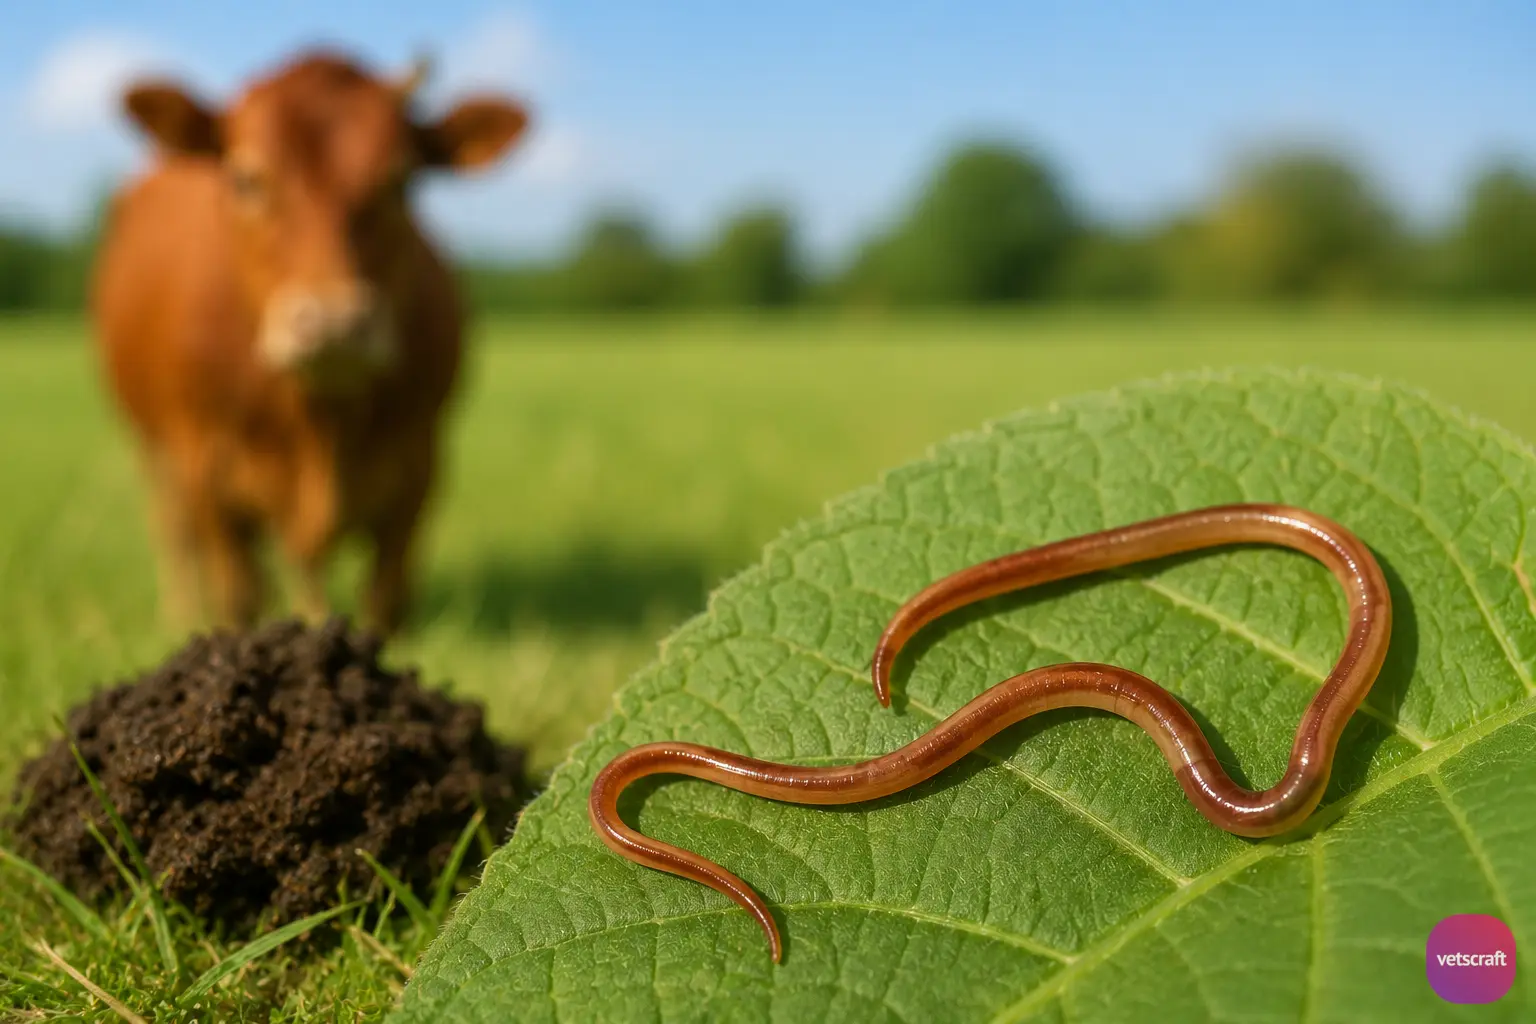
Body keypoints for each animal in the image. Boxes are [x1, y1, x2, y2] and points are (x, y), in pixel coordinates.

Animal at [93, 50, 528, 635]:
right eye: (246, 179)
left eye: (402, 183)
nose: (335, 324)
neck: (320, 426)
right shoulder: (204, 463)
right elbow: (238, 595)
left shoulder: (420, 464)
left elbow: (385, 602)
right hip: (153, 447)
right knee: (176, 532)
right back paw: (181, 613)